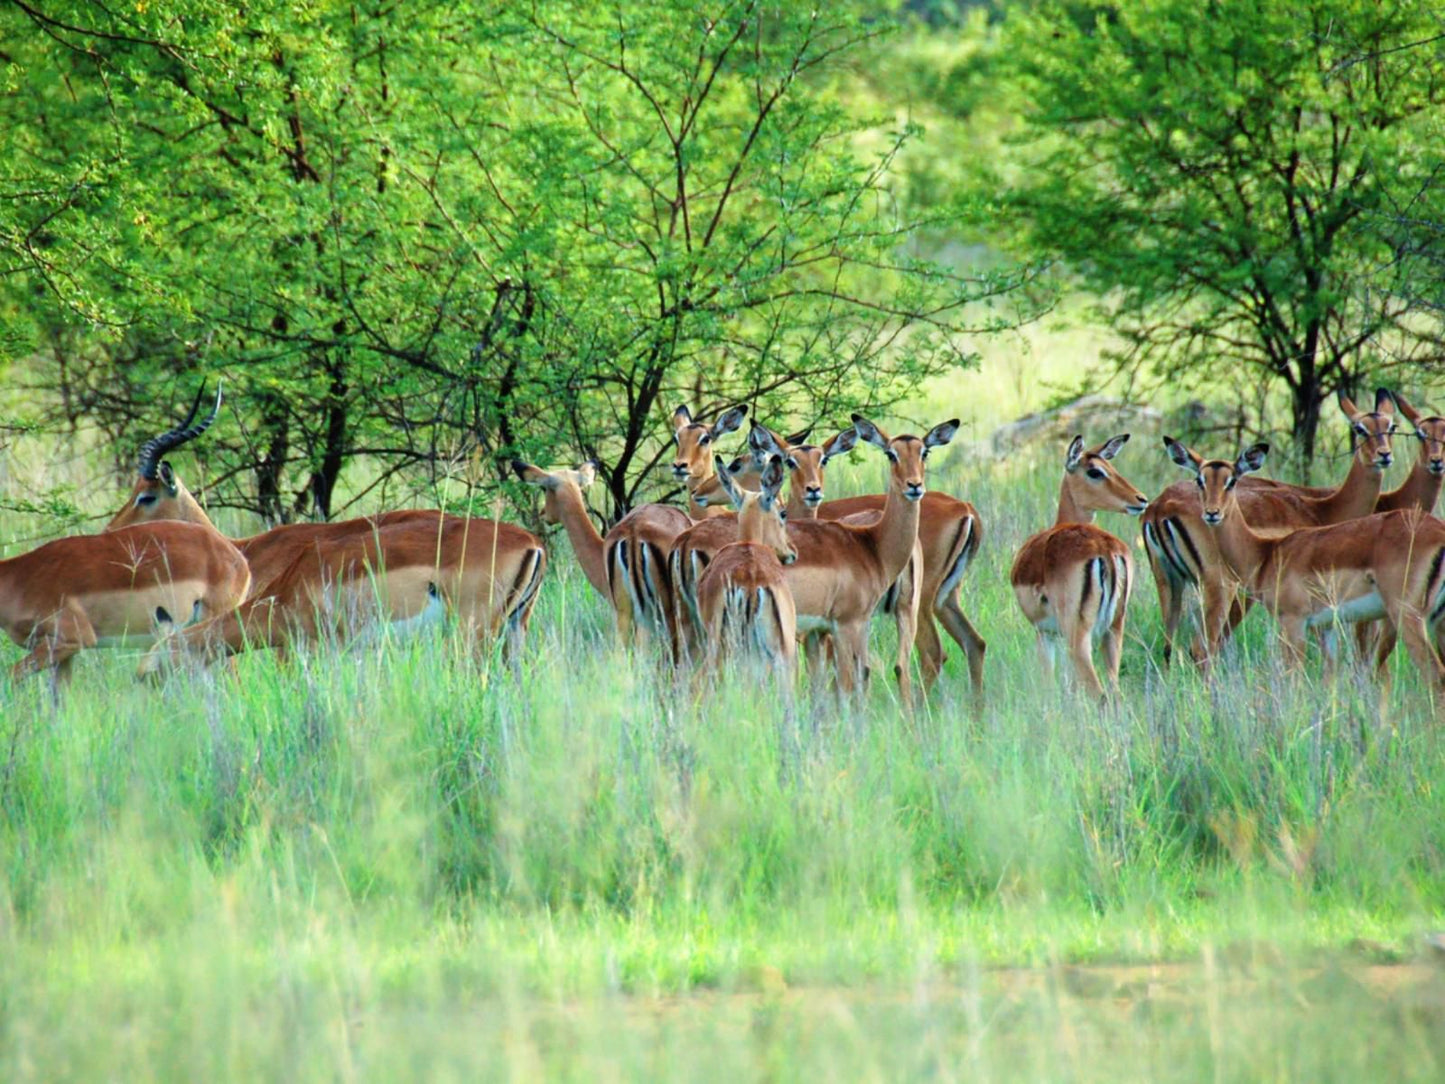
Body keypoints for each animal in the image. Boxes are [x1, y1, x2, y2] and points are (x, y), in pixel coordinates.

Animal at [1017, 436, 1150, 699]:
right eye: (1096, 471)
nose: (1140, 499)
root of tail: (1105, 550)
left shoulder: (1044, 633)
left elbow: (1049, 684)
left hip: (1078, 636)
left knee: (1099, 692)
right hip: (1114, 629)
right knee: (1113, 689)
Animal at [1138, 387, 1398, 667]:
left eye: (1391, 426)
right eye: (1359, 428)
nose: (1384, 455)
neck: (1321, 509)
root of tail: (1160, 507)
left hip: (1169, 582)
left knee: (1169, 648)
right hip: (1219, 587)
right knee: (1200, 649)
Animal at [1161, 436, 1445, 708]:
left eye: (1231, 481)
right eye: (1200, 480)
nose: (1212, 513)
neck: (1266, 553)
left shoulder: (1293, 622)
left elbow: (1294, 680)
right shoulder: (1327, 626)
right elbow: (1329, 684)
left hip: (1407, 616)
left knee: (1435, 676)